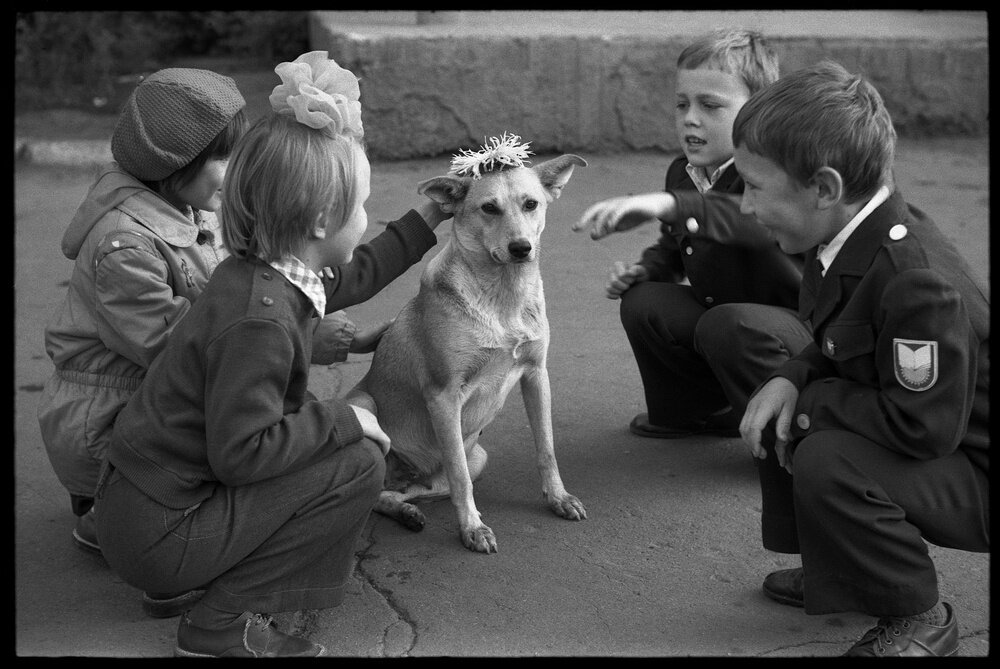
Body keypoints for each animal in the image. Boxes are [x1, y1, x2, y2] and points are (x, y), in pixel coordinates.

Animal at [350, 151, 588, 552]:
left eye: (531, 204)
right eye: (489, 208)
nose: (521, 248)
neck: (504, 297)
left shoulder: (536, 374)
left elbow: (547, 448)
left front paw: (558, 498)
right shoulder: (444, 395)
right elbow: (460, 478)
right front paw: (472, 529)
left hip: (477, 457)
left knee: (398, 492)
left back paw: (408, 512)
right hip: (365, 406)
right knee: (381, 492)